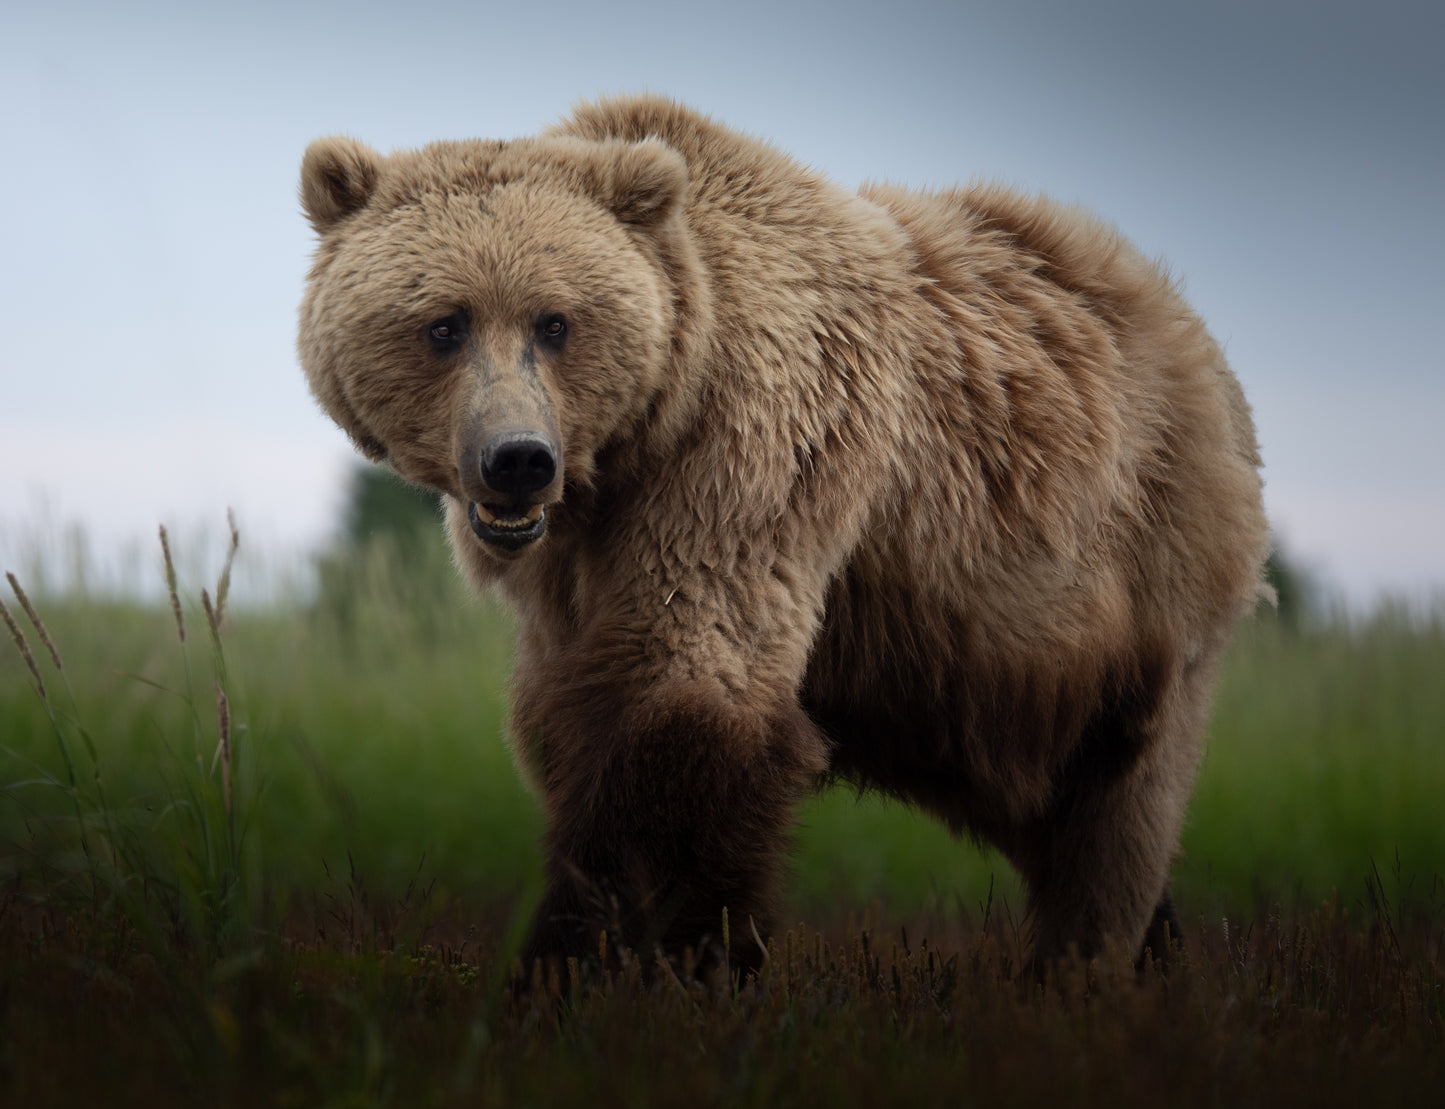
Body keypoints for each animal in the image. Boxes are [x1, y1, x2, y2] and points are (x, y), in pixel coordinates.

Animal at [297, 95, 1269, 975]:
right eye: (444, 323)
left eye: (555, 321)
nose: (517, 460)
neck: (637, 440)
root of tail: (1175, 315)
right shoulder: (568, 566)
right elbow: (567, 715)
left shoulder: (754, 451)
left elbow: (682, 688)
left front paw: (646, 952)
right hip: (967, 666)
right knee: (1044, 793)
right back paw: (1159, 952)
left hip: (1144, 568)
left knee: (1118, 811)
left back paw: (1085, 965)